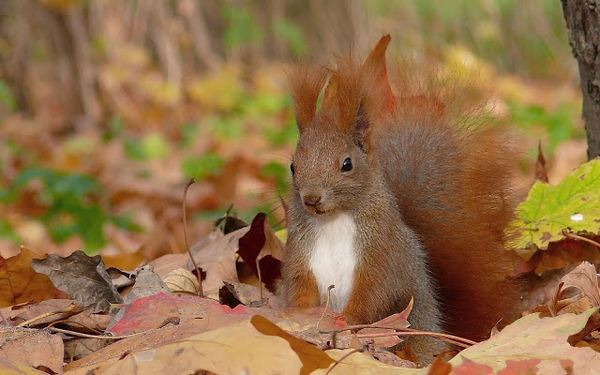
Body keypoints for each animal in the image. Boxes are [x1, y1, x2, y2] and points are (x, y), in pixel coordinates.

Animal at [282, 35, 520, 362]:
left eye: (347, 164)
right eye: (293, 166)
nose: (312, 199)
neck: (333, 220)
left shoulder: (382, 254)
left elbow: (373, 294)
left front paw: (344, 321)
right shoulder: (300, 254)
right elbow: (299, 288)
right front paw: (298, 316)